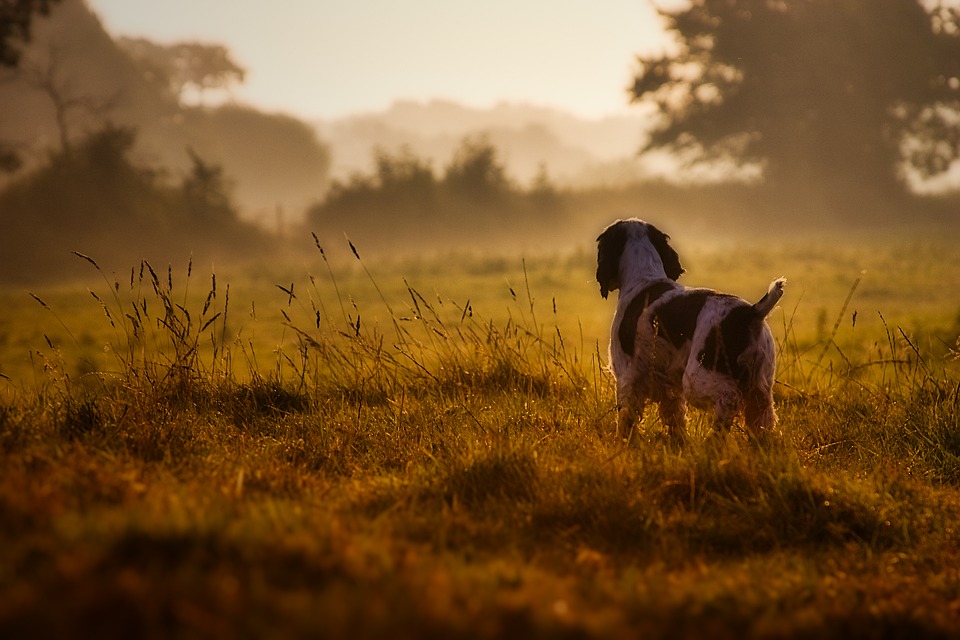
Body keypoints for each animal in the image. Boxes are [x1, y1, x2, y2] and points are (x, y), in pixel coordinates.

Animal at [596, 219, 784, 440]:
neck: (643, 278)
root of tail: (750, 313)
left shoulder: (628, 375)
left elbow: (626, 418)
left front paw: (622, 442)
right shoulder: (667, 383)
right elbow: (674, 415)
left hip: (699, 376)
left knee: (729, 400)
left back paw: (713, 439)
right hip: (761, 385)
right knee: (762, 417)